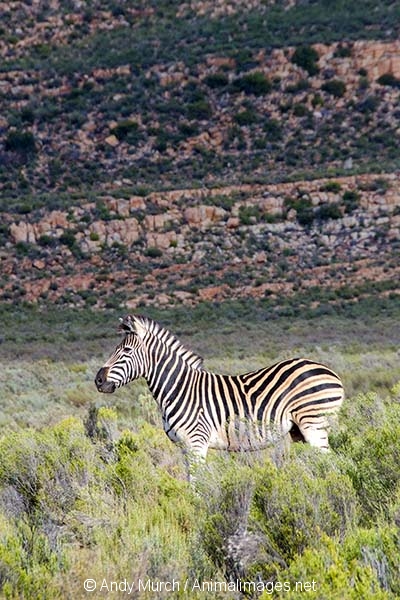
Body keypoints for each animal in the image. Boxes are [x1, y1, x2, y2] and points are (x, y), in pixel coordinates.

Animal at [95, 314, 344, 477]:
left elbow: (196, 484)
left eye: (126, 351)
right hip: (298, 431)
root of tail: (331, 372)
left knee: (329, 465)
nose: (98, 380)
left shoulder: (196, 442)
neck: (179, 388)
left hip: (314, 423)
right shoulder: (185, 447)